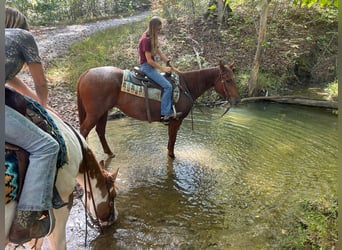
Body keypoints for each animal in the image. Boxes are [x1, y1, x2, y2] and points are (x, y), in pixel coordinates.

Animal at [77, 60, 240, 158]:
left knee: (100, 131)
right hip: (94, 113)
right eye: (228, 80)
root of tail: (86, 73)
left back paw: (109, 153)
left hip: (103, 112)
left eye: (234, 78)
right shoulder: (176, 120)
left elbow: (170, 141)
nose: (237, 100)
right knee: (84, 131)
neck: (186, 85)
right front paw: (172, 157)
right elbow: (172, 141)